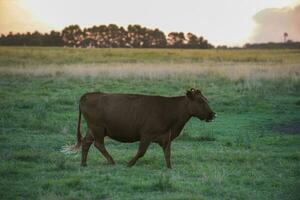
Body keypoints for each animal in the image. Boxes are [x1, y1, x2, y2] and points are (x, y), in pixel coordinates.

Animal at [74, 88, 217, 168]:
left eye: (206, 100)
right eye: (200, 101)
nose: (213, 114)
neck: (168, 110)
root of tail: (88, 95)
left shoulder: (167, 137)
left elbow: (168, 154)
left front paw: (169, 168)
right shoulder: (146, 135)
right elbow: (141, 152)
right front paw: (129, 164)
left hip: (93, 129)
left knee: (86, 143)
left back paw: (83, 163)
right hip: (97, 128)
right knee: (98, 144)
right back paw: (111, 161)